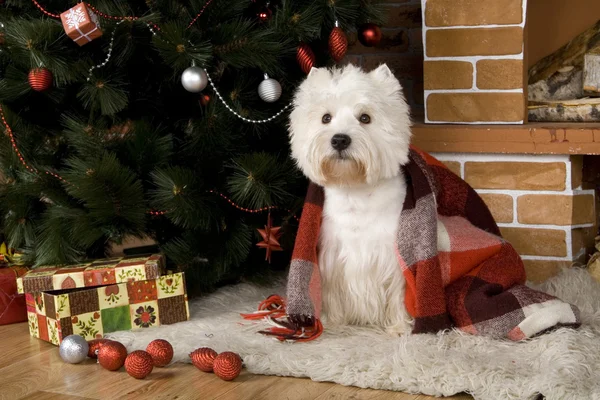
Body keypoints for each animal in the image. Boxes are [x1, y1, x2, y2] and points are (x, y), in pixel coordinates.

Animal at [288, 65, 414, 334]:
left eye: (365, 118)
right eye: (326, 118)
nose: (339, 139)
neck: (356, 193)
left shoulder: (394, 255)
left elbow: (399, 291)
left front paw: (399, 327)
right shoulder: (331, 255)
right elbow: (331, 291)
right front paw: (333, 321)